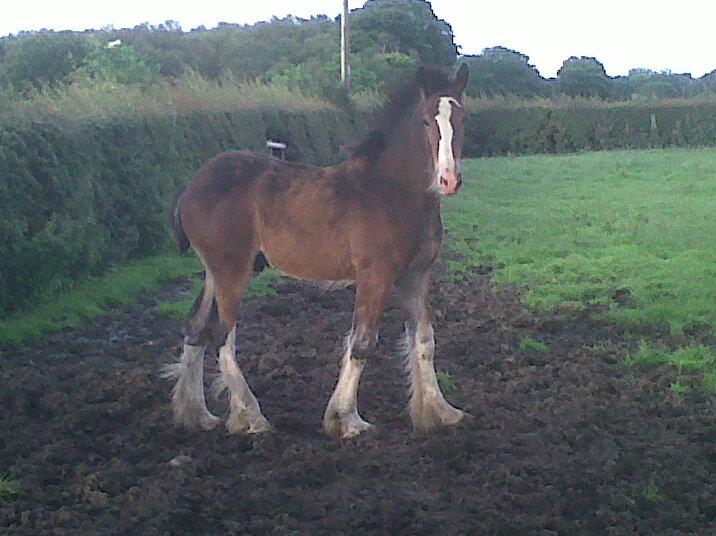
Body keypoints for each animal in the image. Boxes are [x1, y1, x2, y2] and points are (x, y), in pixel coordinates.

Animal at [162, 65, 470, 438]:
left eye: (463, 117)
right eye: (426, 121)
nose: (448, 180)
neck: (393, 191)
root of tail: (191, 186)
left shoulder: (416, 275)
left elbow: (424, 340)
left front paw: (439, 411)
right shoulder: (375, 276)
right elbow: (362, 343)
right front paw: (346, 419)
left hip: (214, 271)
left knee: (196, 326)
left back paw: (196, 414)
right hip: (232, 270)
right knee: (223, 334)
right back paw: (251, 417)